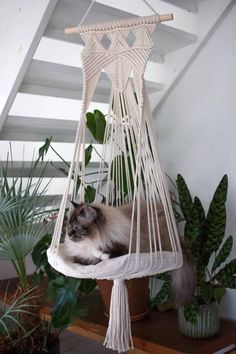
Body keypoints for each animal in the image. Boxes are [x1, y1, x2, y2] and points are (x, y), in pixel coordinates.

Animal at [63, 201, 195, 306]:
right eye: (69, 226)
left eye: (76, 228)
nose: (68, 234)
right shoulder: (81, 257)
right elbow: (87, 257)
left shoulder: (128, 248)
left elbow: (107, 250)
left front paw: (101, 253)